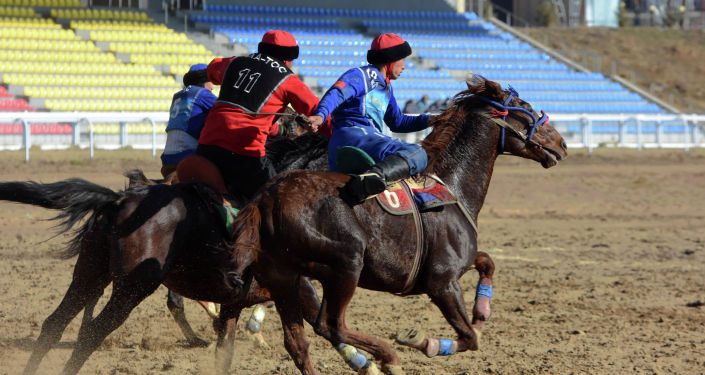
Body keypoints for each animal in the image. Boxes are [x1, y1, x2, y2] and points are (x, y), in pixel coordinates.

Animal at [226, 78, 568, 374]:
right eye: (524, 106)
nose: (562, 142)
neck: (450, 186)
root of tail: (266, 197)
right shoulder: (442, 282)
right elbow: (470, 338)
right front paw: (423, 341)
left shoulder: (462, 263)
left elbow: (487, 264)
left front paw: (482, 310)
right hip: (344, 268)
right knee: (331, 325)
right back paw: (388, 356)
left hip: (284, 278)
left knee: (298, 344)